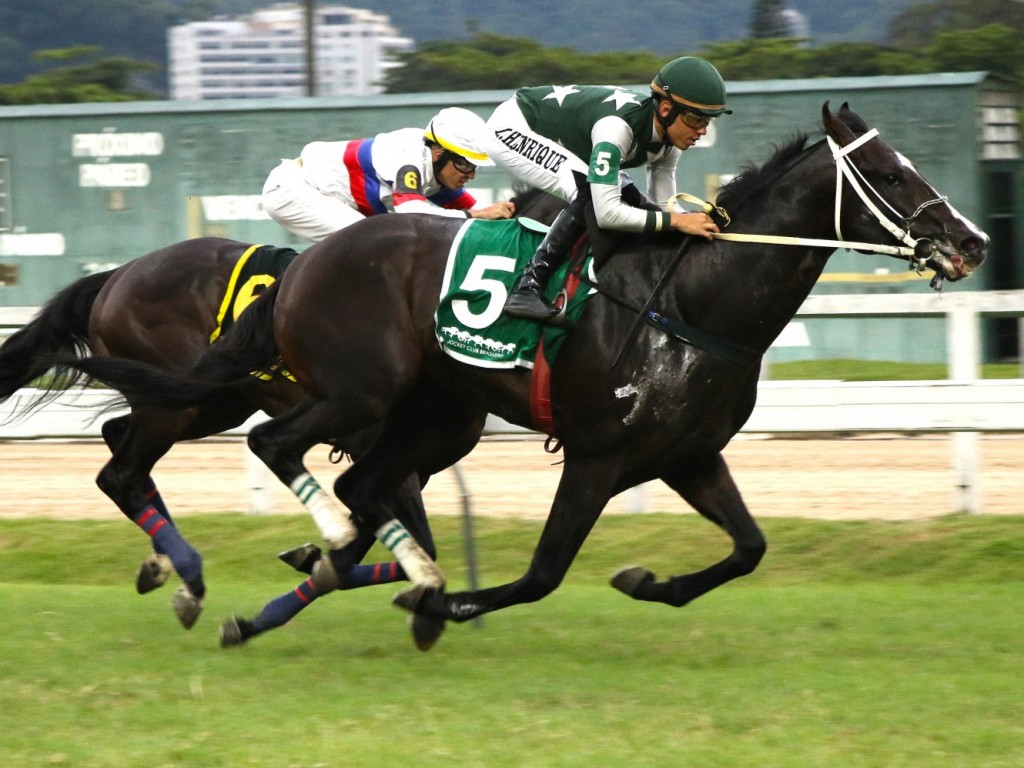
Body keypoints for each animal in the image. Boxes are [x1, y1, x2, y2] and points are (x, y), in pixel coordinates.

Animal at [51, 107, 987, 651]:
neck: (692, 302)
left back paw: (253, 590)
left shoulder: (689, 456)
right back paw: (255, 571)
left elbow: (749, 548)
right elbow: (541, 573)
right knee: (260, 451)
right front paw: (437, 607)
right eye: (893, 174)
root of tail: (306, 265)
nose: (972, 242)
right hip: (338, 393)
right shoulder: (598, 454)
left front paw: (649, 581)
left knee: (325, 483)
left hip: (416, 414)